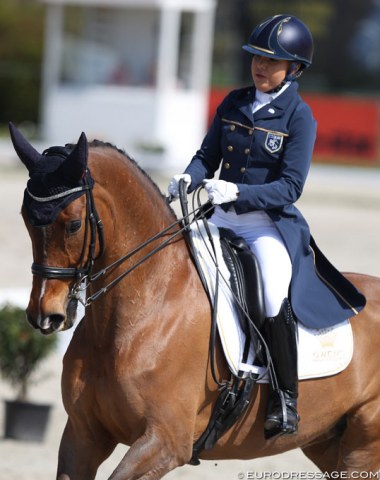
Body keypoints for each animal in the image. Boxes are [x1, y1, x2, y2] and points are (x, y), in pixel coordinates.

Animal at [9, 124, 380, 480]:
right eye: (25, 218)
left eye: (73, 224)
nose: (45, 316)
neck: (148, 306)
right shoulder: (83, 435)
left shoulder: (166, 442)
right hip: (327, 443)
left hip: (362, 449)